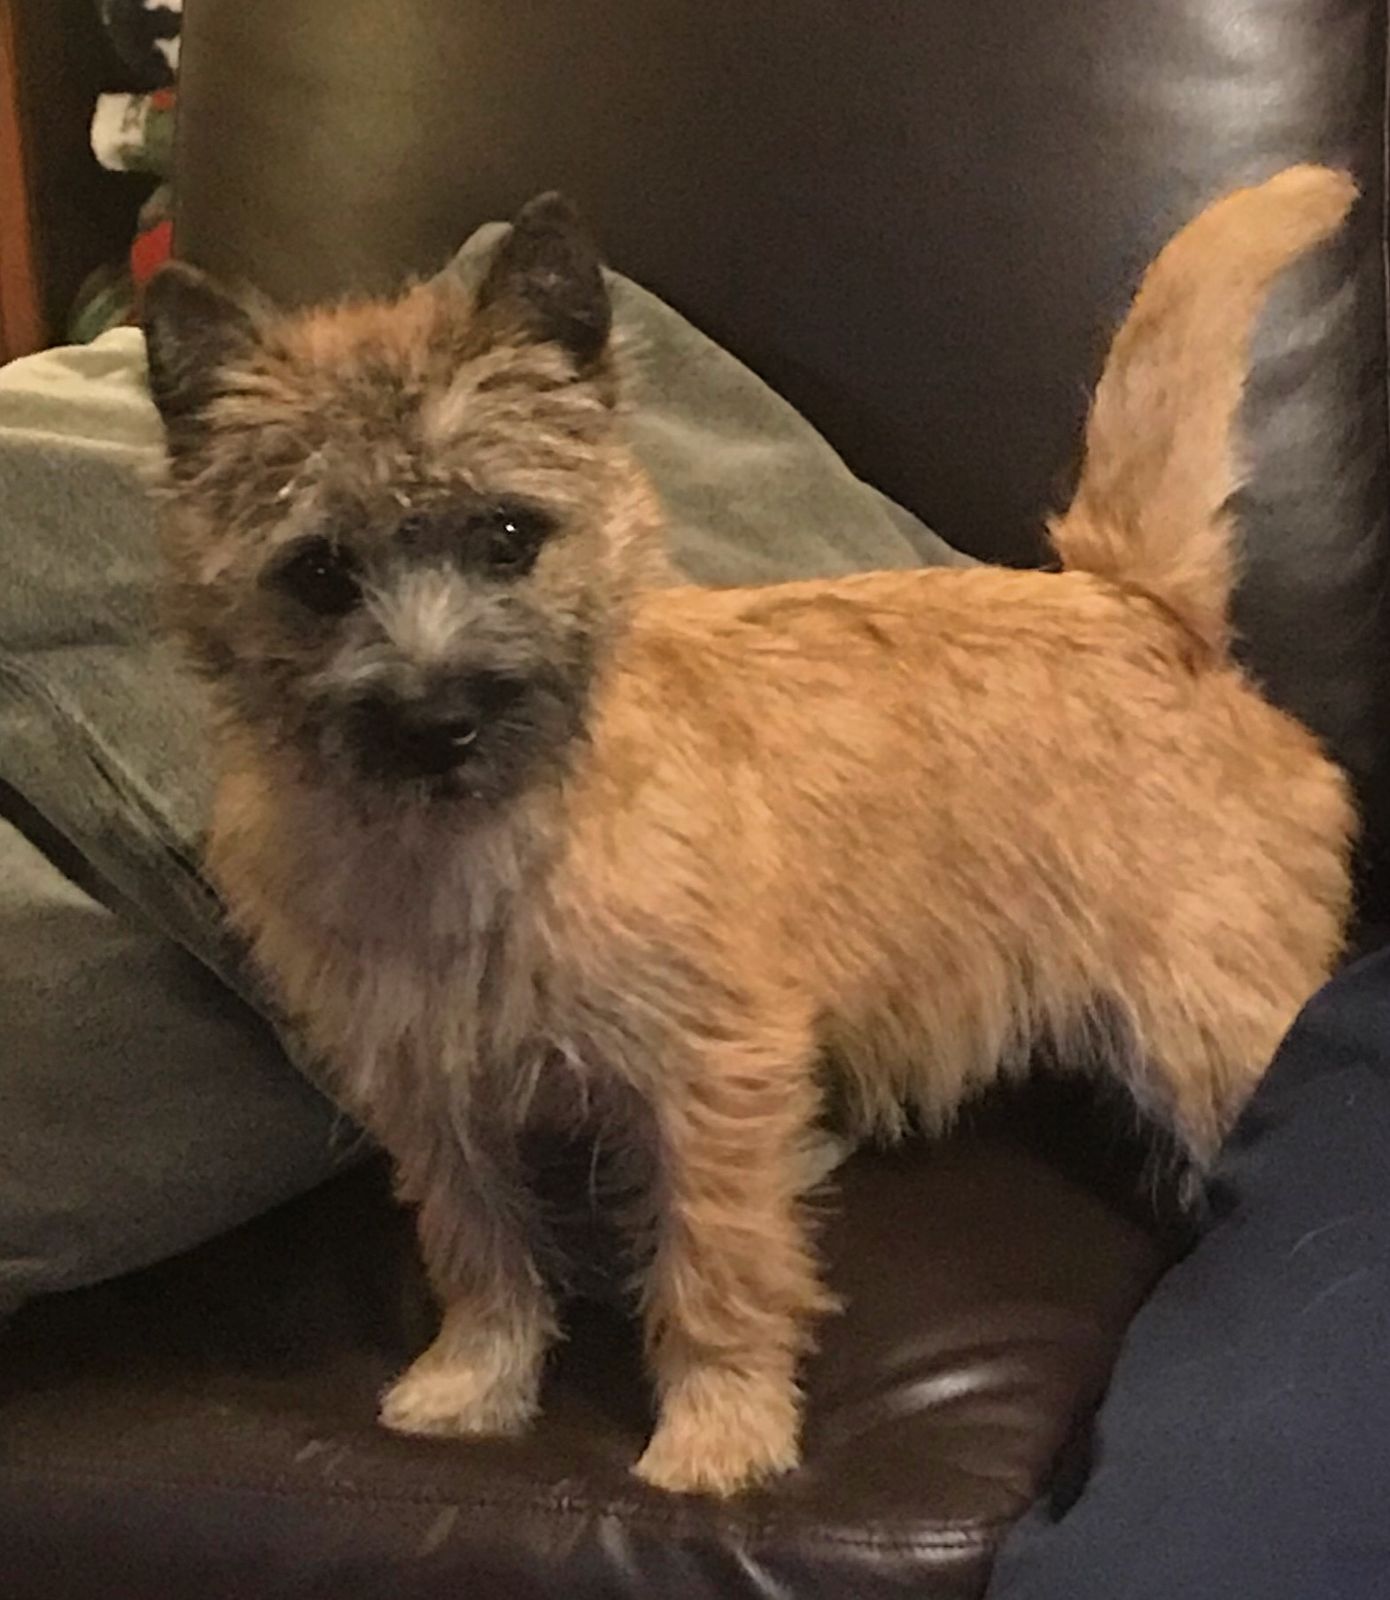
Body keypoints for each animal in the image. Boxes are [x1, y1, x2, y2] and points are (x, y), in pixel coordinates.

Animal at [142, 165, 1357, 1496]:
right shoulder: (432, 1095)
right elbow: (478, 1246)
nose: (436, 722)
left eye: (509, 534)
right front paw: (475, 1383)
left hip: (1214, 1025)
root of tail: (1135, 600)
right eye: (317, 572)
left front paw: (717, 1434)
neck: (479, 846)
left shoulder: (711, 1077)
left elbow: (711, 1266)